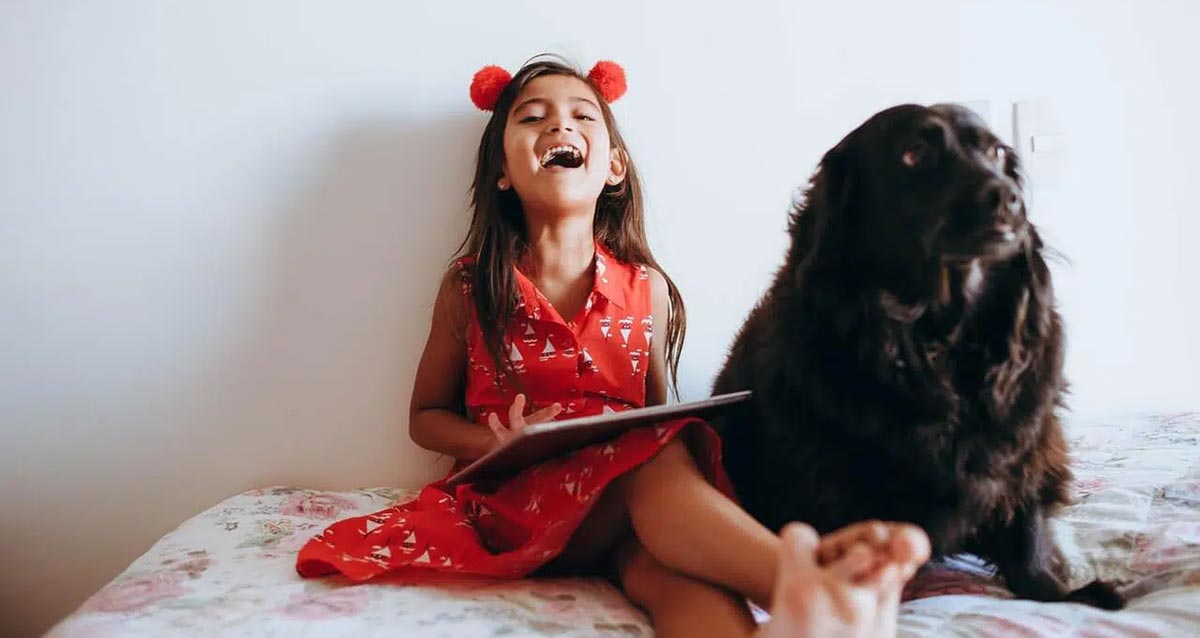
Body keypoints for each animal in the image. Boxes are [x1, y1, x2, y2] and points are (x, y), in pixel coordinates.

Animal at [705, 103, 1118, 609]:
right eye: (915, 153)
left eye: (997, 153)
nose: (1009, 198)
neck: (940, 339)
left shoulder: (1024, 446)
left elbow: (1027, 533)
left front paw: (1057, 590)